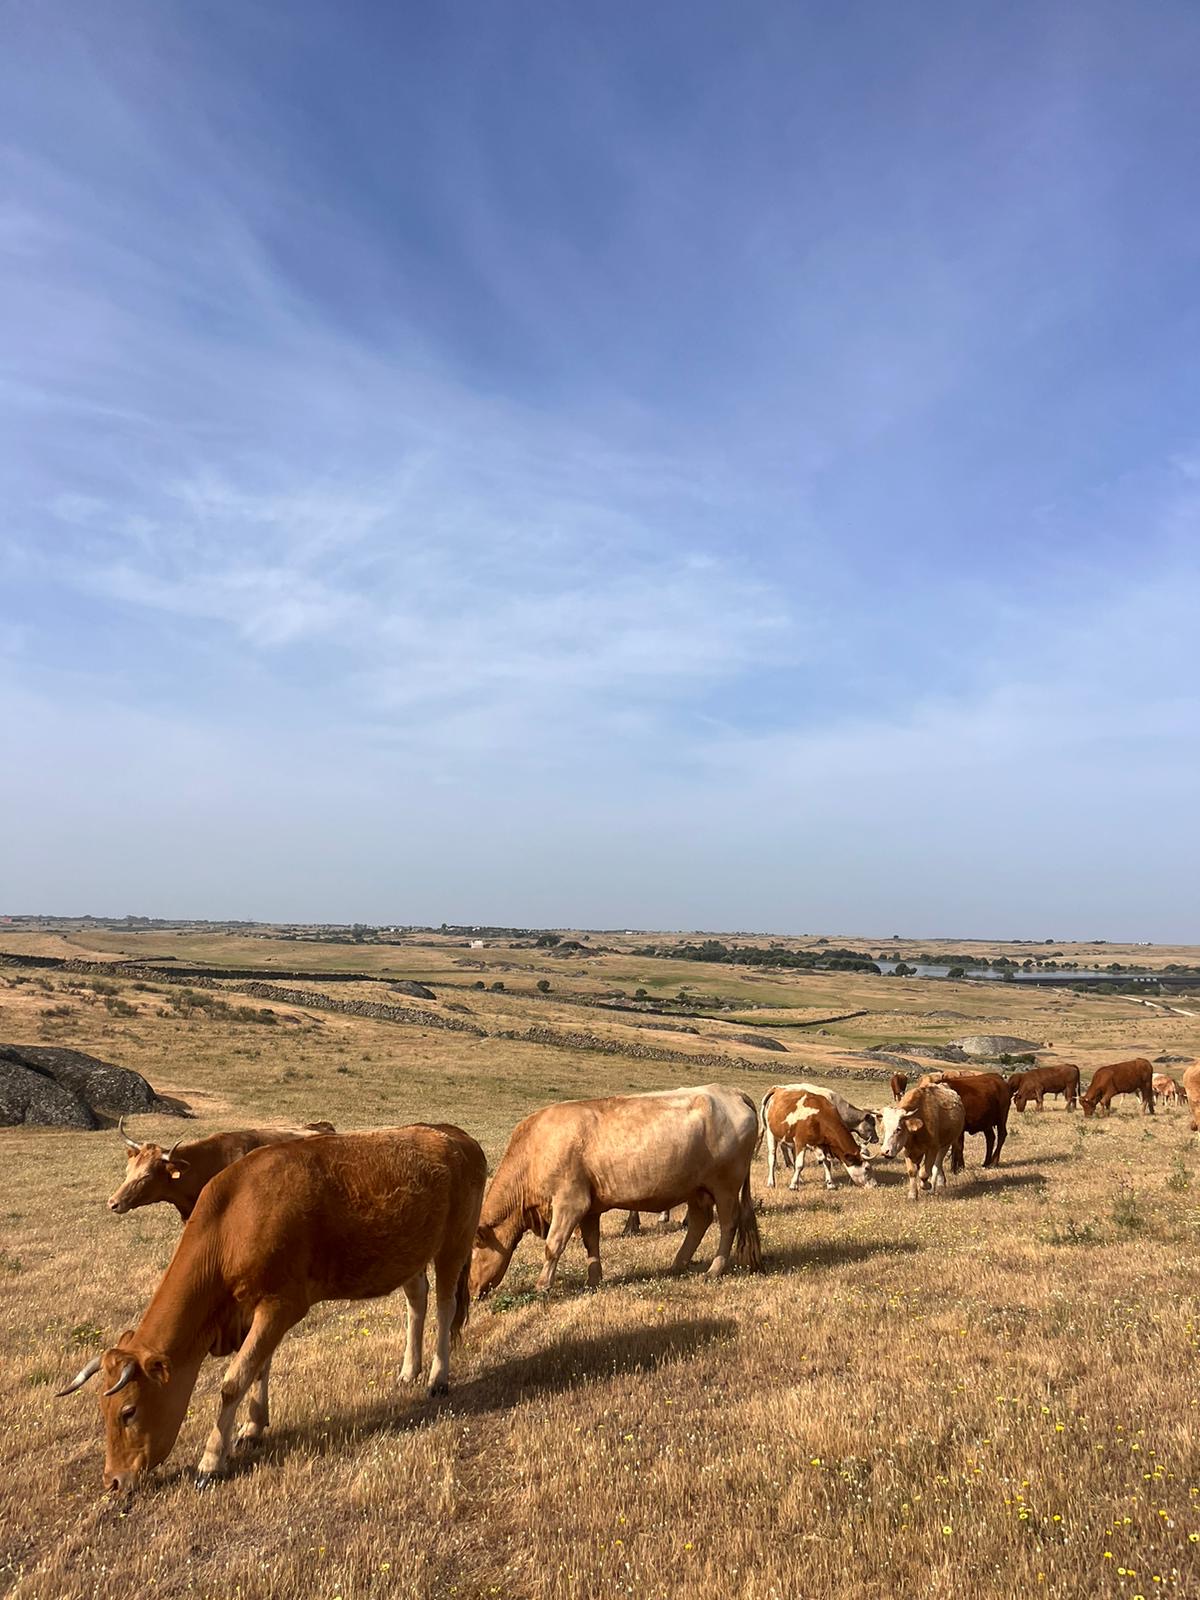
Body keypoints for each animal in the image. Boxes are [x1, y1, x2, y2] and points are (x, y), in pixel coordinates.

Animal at [469, 1085, 761, 1297]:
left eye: (471, 1252)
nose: (471, 1290)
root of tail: (731, 1092)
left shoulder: (570, 1201)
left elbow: (553, 1246)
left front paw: (543, 1286)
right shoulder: (588, 1208)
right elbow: (591, 1243)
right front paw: (593, 1279)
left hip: (725, 1185)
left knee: (728, 1223)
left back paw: (714, 1269)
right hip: (697, 1189)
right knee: (700, 1221)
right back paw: (677, 1263)